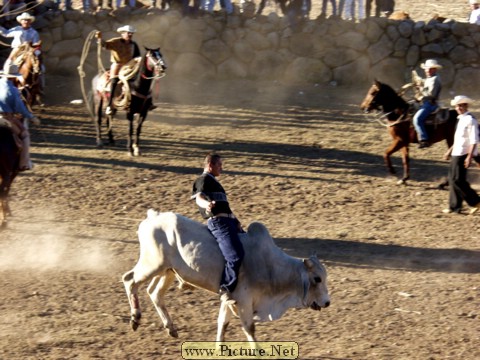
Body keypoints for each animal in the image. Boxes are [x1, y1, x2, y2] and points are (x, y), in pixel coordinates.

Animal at [122, 210, 328, 342]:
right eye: (317, 279)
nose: (327, 302)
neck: (270, 267)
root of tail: (152, 216)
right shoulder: (242, 300)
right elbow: (249, 329)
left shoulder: (228, 299)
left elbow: (223, 324)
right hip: (152, 265)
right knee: (129, 280)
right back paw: (135, 318)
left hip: (168, 272)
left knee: (154, 293)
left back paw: (170, 328)